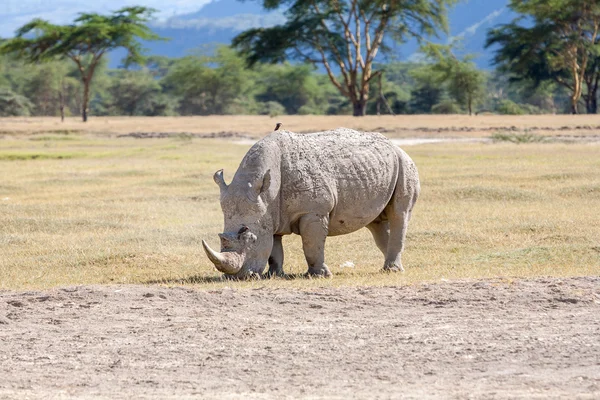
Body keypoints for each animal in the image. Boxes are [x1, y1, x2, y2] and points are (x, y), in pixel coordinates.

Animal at [204, 128, 420, 278]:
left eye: (252, 239)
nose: (238, 277)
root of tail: (396, 146)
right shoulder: (270, 213)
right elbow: (275, 248)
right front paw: (274, 274)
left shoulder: (313, 211)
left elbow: (311, 245)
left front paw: (319, 275)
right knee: (376, 223)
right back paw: (391, 268)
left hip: (405, 164)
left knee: (399, 214)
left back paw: (391, 270)